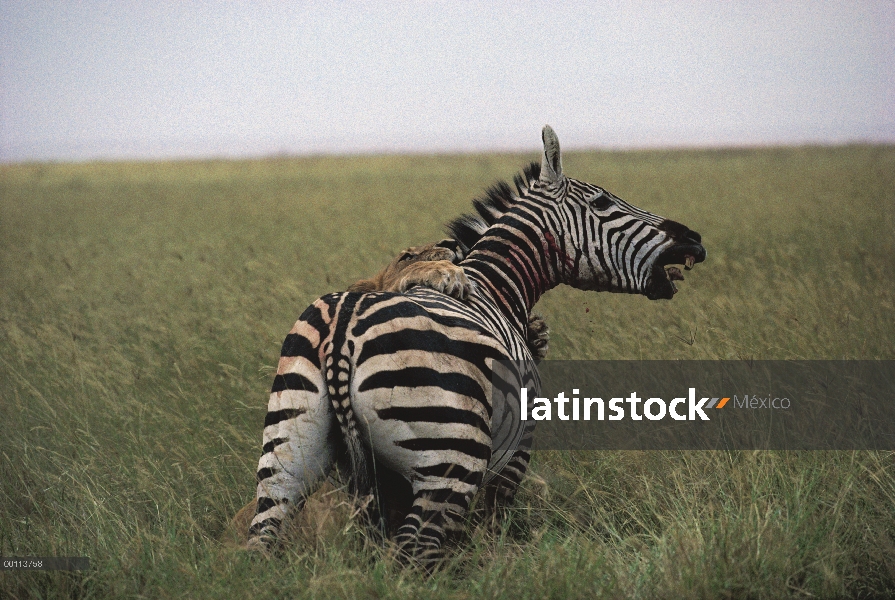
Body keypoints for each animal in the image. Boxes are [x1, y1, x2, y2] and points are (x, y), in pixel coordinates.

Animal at [250, 124, 708, 564]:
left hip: (288, 450)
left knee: (264, 538)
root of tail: (342, 330)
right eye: (602, 203)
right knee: (413, 550)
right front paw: (498, 563)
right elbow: (496, 519)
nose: (695, 239)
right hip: (451, 451)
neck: (496, 285)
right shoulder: (518, 445)